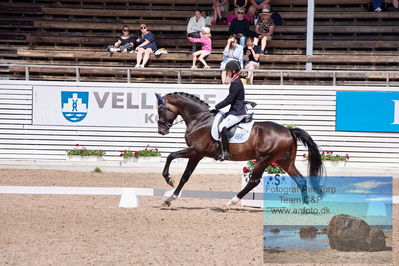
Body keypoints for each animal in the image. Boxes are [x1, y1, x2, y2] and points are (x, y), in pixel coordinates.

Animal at [155, 91, 324, 210]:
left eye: (161, 110)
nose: (161, 131)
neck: (200, 119)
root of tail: (289, 131)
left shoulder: (196, 151)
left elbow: (171, 156)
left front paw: (169, 179)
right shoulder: (196, 155)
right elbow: (185, 176)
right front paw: (169, 199)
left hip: (264, 159)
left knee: (254, 181)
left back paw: (229, 203)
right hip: (284, 161)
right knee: (300, 179)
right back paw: (305, 207)